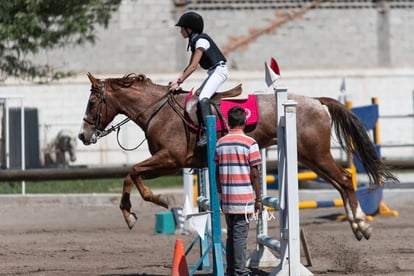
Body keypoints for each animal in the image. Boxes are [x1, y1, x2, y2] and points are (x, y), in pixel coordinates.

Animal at [77, 72, 398, 240]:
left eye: (92, 102)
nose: (82, 135)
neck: (159, 111)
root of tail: (316, 101)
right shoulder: (170, 162)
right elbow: (131, 175)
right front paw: (138, 210)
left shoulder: (171, 159)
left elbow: (132, 173)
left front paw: (150, 204)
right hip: (309, 159)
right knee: (340, 183)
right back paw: (357, 225)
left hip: (315, 155)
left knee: (344, 179)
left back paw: (362, 224)